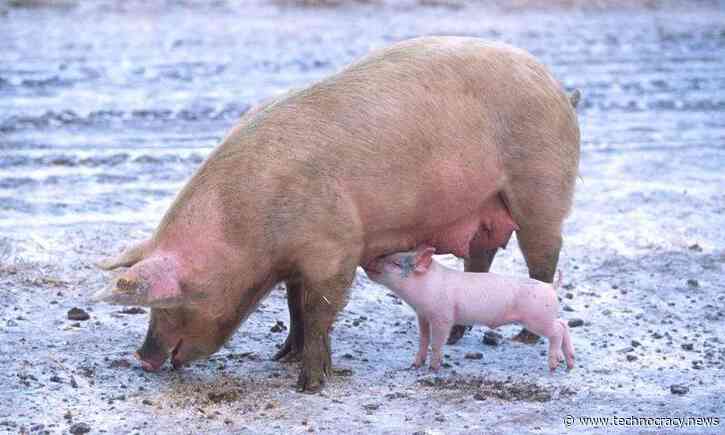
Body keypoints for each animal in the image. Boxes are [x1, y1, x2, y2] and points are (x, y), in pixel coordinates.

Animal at [364, 246, 575, 371]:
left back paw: (554, 366)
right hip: (545, 317)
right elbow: (423, 340)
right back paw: (569, 364)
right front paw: (415, 365)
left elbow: (437, 342)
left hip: (537, 318)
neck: (425, 286)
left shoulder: (443, 316)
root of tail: (550, 287)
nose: (367, 261)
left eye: (395, 263)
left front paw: (433, 368)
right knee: (563, 324)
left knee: (557, 330)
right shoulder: (422, 316)